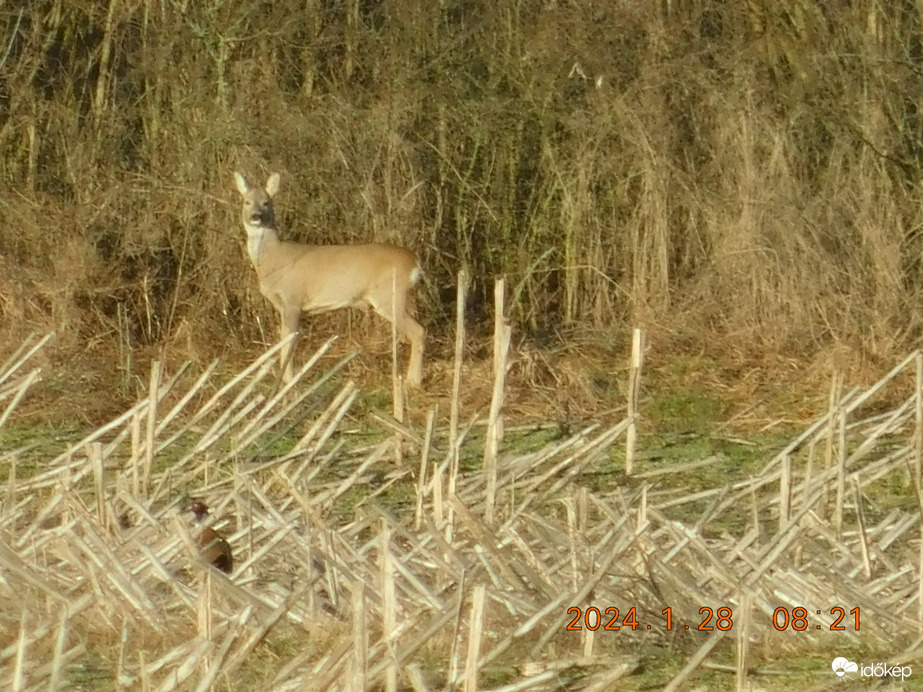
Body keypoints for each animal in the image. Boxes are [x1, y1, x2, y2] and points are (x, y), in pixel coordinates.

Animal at [233, 172, 424, 386]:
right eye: (247, 201)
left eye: (266, 202)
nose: (256, 216)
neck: (272, 259)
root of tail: (414, 261)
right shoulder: (283, 305)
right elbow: (284, 341)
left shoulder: (292, 299)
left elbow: (289, 342)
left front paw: (287, 380)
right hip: (401, 298)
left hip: (389, 295)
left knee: (418, 331)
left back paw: (413, 382)